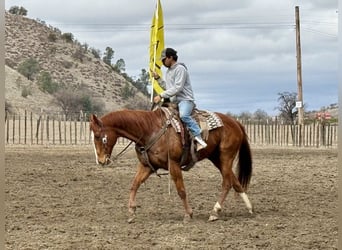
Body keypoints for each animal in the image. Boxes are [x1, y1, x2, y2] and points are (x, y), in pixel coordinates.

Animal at [89, 106, 252, 224]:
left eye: (97, 136)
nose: (101, 161)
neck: (149, 130)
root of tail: (236, 123)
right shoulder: (146, 166)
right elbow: (135, 184)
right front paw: (131, 212)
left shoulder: (173, 164)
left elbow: (181, 190)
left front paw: (188, 214)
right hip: (216, 158)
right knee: (234, 181)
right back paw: (249, 208)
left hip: (226, 157)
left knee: (227, 182)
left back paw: (215, 212)